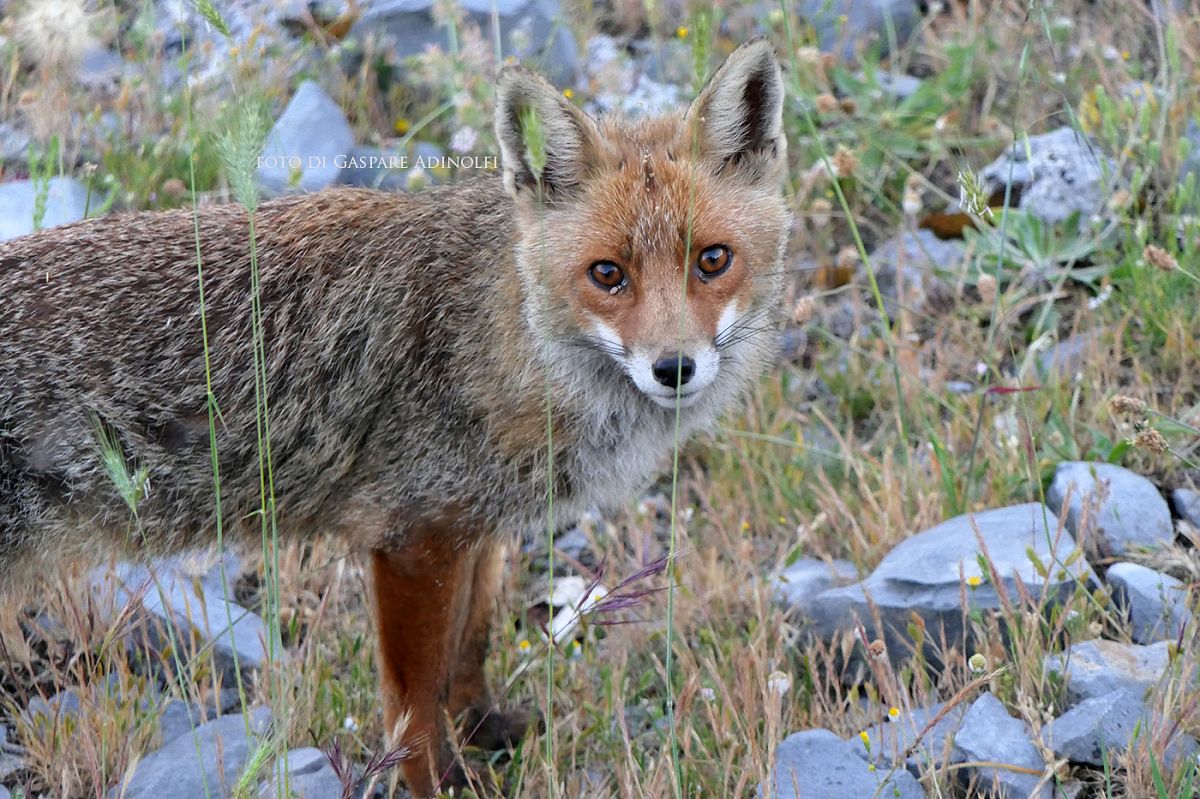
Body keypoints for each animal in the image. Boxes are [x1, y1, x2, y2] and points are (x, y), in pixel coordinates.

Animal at [0, 39, 789, 796]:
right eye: (607, 275)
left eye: (712, 260)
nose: (674, 368)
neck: (501, 336)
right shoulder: (413, 538)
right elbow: (414, 700)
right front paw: (436, 780)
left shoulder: (475, 527)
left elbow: (468, 650)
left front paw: (484, 729)